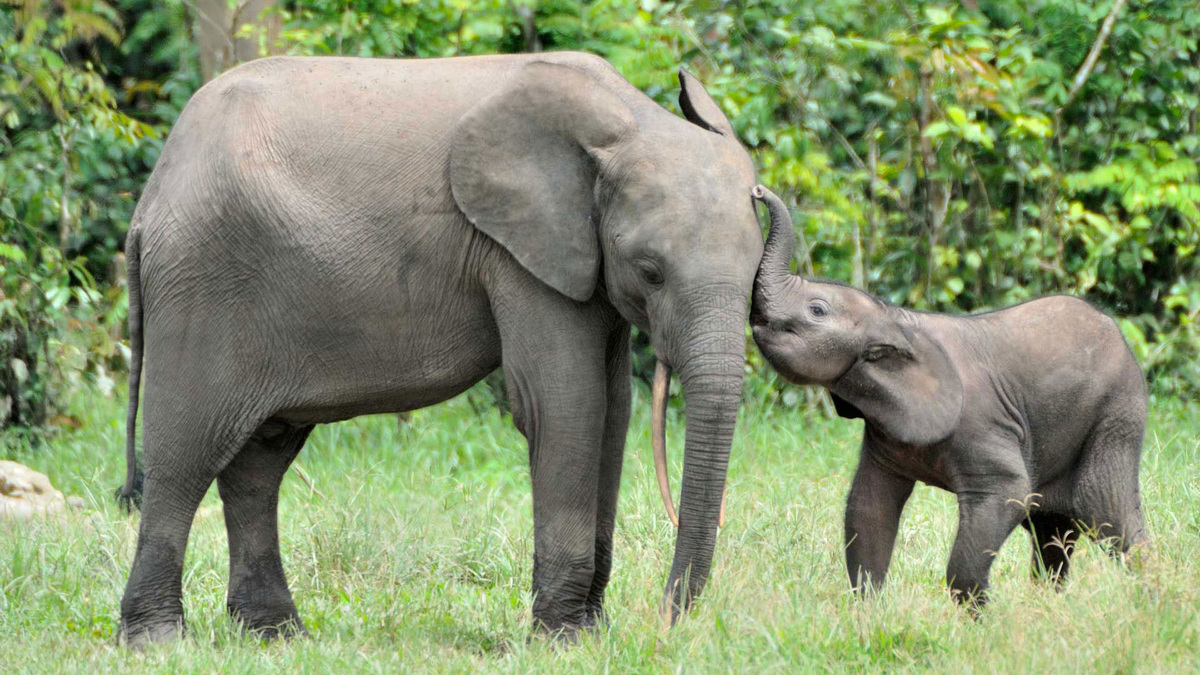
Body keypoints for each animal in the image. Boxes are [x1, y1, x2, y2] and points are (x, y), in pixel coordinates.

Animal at [114, 52, 764, 646]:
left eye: (759, 266)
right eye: (651, 271)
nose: (668, 620)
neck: (628, 120)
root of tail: (148, 203)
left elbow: (612, 412)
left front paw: (590, 633)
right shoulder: (517, 251)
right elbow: (564, 405)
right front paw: (561, 640)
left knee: (258, 464)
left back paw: (274, 635)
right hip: (203, 282)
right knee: (184, 455)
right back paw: (158, 641)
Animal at [747, 186, 1148, 606]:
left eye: (817, 310)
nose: (758, 191)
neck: (896, 319)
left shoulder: (982, 426)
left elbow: (1008, 492)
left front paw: (982, 615)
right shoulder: (886, 432)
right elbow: (868, 507)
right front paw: (867, 611)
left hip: (1116, 415)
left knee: (1107, 514)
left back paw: (1152, 596)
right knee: (1051, 531)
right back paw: (1047, 606)